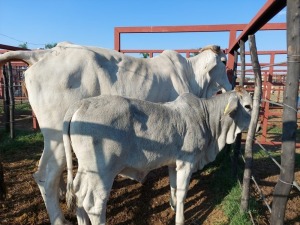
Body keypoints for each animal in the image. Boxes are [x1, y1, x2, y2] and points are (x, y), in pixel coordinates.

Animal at [0, 41, 232, 223]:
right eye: (223, 61)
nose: (231, 85)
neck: (193, 78)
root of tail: (43, 54)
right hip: (56, 137)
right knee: (46, 177)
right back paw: (59, 220)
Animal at [63, 85, 253, 223]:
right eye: (248, 106)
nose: (256, 126)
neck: (207, 119)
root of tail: (81, 104)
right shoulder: (187, 162)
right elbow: (182, 193)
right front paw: (180, 219)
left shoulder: (173, 163)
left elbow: (174, 188)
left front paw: (174, 207)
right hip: (102, 172)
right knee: (94, 205)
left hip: (86, 168)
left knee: (78, 193)